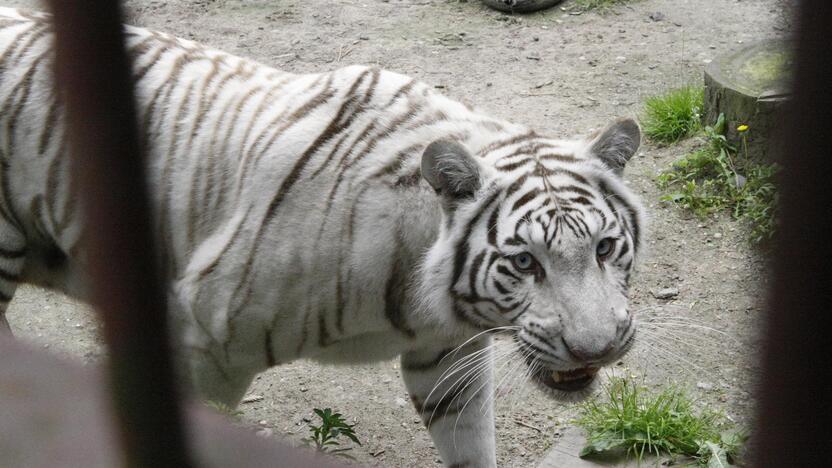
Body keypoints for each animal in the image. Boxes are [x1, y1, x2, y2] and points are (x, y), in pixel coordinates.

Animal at [0, 8, 648, 468]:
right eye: (525, 262)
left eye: (604, 247)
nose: (595, 350)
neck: (424, 293)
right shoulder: (202, 341)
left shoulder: (447, 356)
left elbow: (470, 444)